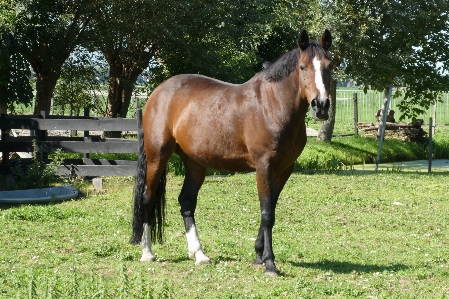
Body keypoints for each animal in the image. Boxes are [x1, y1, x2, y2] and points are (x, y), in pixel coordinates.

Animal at [131, 29, 330, 276]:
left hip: (195, 163)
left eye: (330, 66)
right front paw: (269, 263)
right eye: (303, 67)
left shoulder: (284, 169)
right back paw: (147, 253)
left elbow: (270, 209)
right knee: (147, 199)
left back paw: (199, 254)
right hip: (157, 157)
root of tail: (157, 93)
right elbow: (267, 213)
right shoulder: (264, 167)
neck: (272, 106)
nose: (321, 105)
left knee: (186, 201)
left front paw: (258, 256)